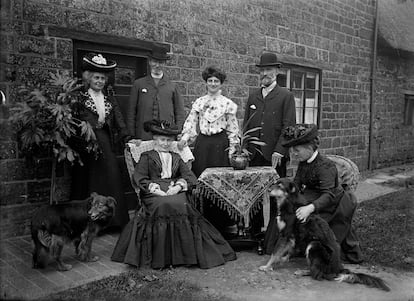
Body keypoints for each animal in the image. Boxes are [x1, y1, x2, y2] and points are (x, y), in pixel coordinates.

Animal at [260, 178, 390, 290]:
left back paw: (303, 271)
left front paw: (267, 266)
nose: (268, 190)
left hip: (314, 244)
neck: (290, 202)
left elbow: (275, 253)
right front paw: (282, 260)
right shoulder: (293, 237)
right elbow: (288, 251)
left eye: (280, 186)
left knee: (319, 273)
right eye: (275, 183)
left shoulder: (285, 235)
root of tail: (338, 268)